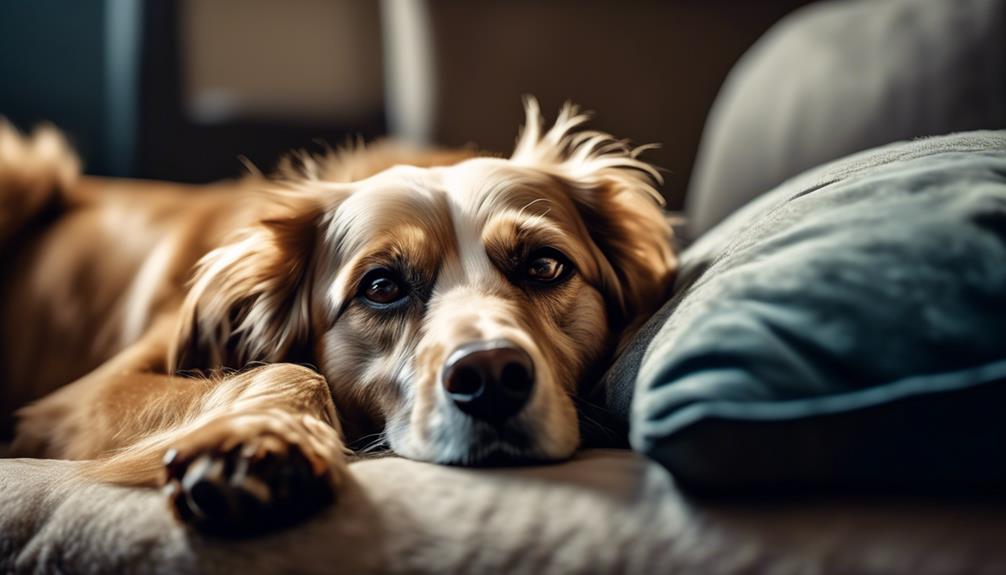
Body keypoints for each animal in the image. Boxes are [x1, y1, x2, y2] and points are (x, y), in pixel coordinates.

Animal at [1, 100, 676, 534]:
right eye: (380, 286)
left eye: (544, 266)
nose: (490, 378)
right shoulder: (84, 398)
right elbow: (287, 371)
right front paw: (256, 439)